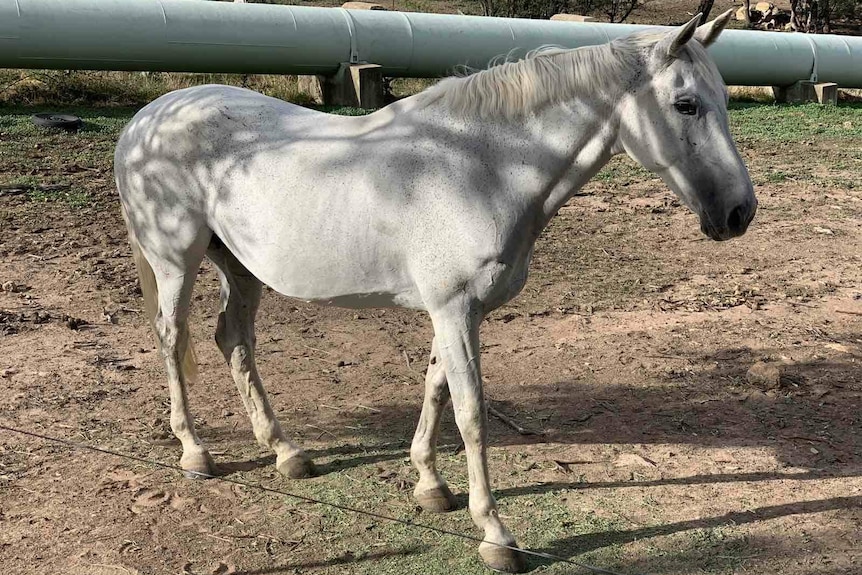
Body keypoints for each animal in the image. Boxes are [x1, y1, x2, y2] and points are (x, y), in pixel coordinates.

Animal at [115, 11, 756, 572]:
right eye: (686, 104)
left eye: (723, 100)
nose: (739, 213)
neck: (481, 167)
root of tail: (147, 119)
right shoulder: (454, 310)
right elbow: (471, 413)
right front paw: (495, 534)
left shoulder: (454, 312)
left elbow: (436, 389)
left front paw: (430, 485)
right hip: (176, 262)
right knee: (173, 339)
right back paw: (195, 452)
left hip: (240, 267)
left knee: (233, 340)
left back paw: (286, 452)